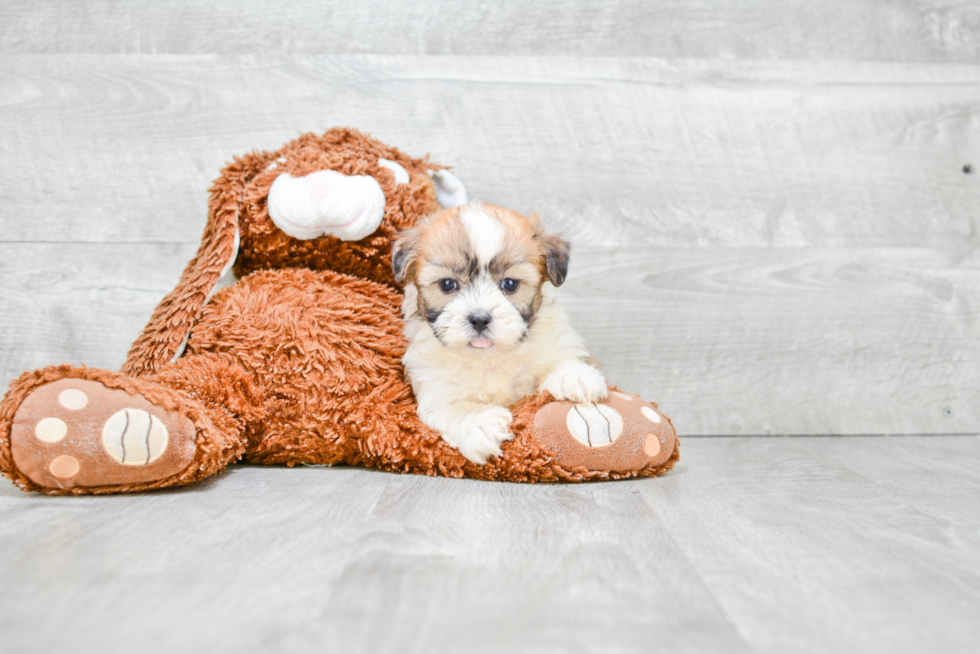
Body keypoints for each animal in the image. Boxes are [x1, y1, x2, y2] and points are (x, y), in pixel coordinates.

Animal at [388, 202, 604, 464]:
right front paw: (479, 422)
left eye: (510, 284)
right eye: (447, 284)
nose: (480, 319)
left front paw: (574, 375)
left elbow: (563, 356)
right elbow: (453, 406)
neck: (488, 358)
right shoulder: (435, 386)